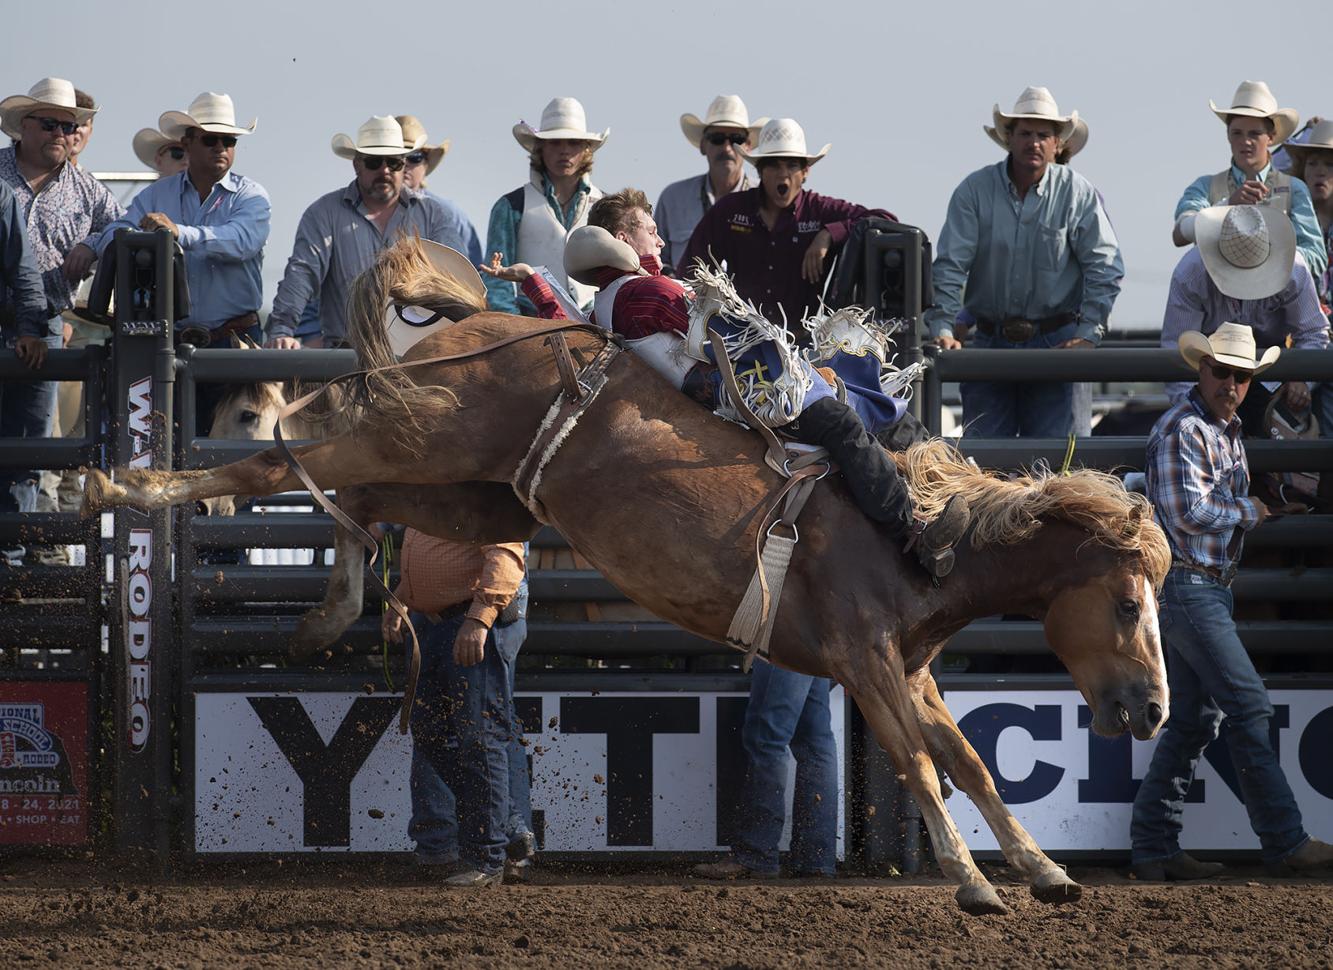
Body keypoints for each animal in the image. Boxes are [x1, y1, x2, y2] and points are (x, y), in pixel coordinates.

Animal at [83, 238, 1173, 911]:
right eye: (1127, 603)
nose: (1154, 708)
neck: (916, 539)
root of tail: (478, 321)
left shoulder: (907, 670)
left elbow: (970, 761)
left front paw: (1043, 869)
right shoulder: (864, 662)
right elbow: (914, 764)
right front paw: (974, 881)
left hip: (477, 492)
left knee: (355, 495)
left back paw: (330, 608)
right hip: (426, 433)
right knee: (277, 457)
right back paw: (120, 482)